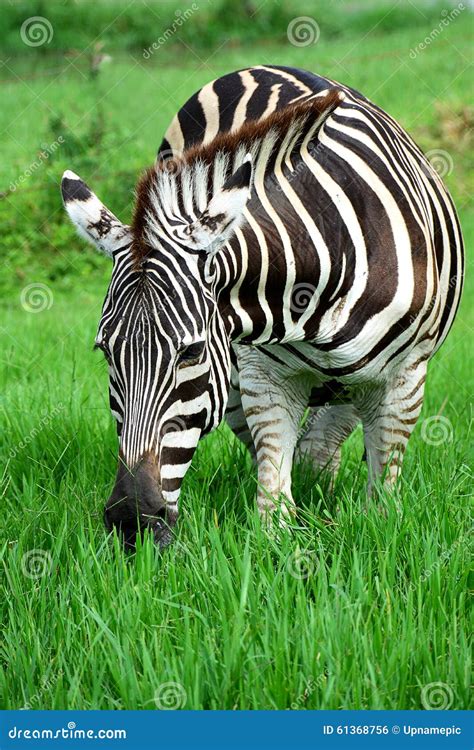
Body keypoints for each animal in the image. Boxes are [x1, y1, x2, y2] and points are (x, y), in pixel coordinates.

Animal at [61, 66, 464, 548]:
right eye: (105, 351)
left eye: (191, 352)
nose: (131, 519)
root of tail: (252, 72)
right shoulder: (261, 377)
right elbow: (273, 498)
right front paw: (283, 545)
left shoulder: (402, 378)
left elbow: (382, 495)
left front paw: (373, 531)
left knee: (325, 442)